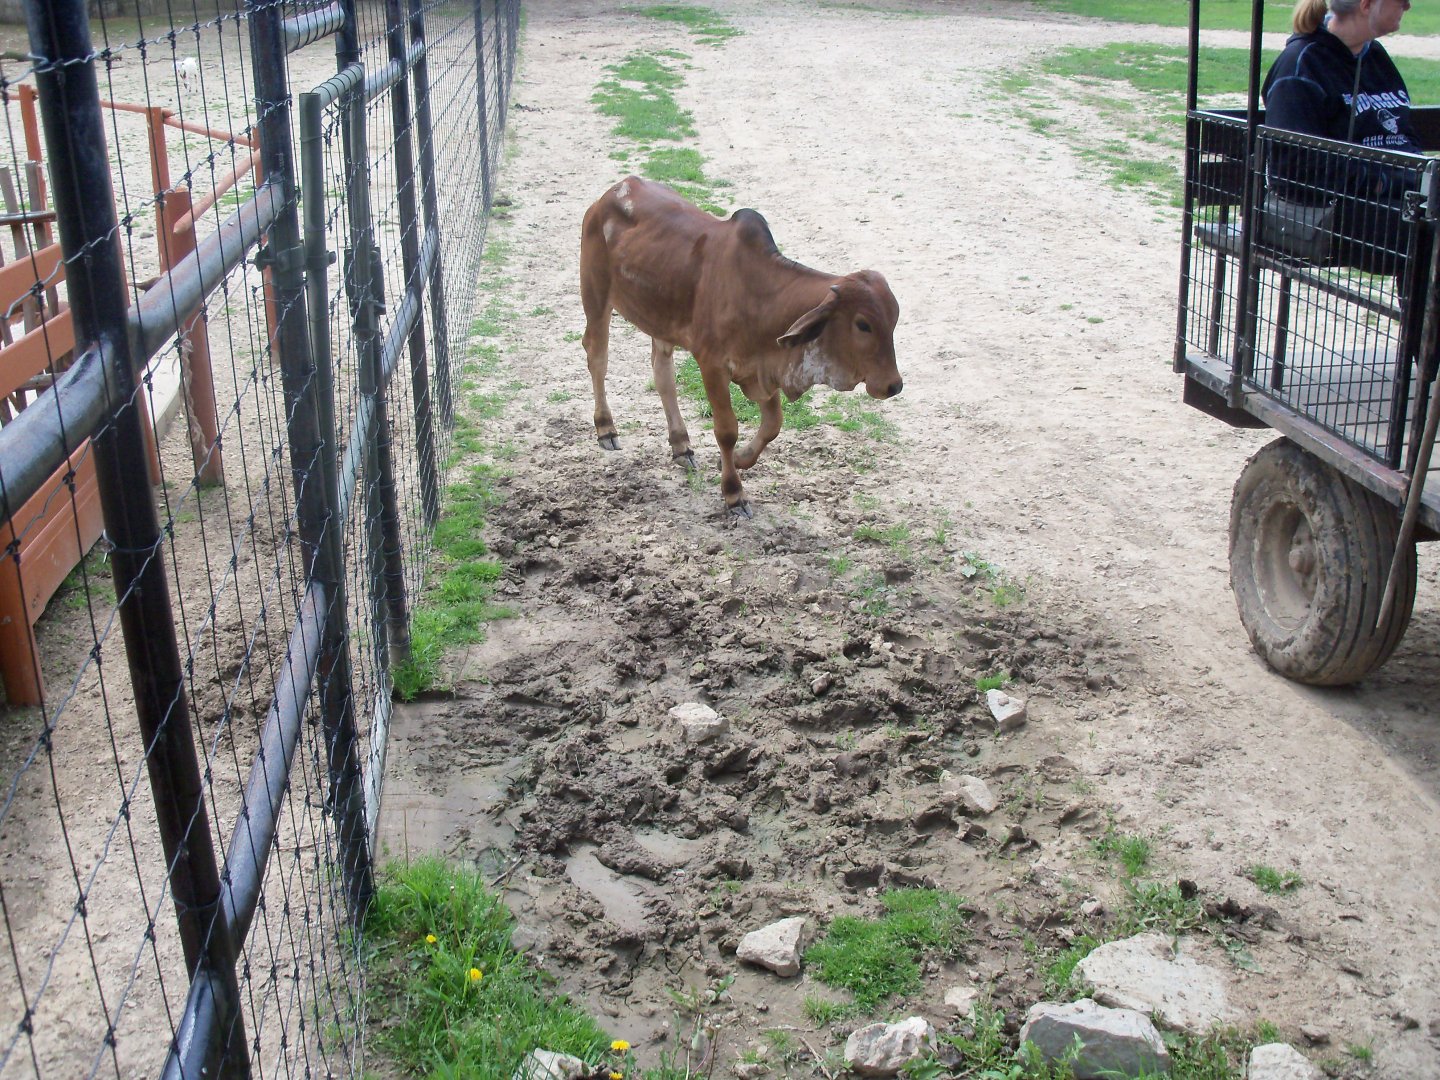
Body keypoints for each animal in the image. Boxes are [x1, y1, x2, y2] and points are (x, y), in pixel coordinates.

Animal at [580, 176, 902, 518]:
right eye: (863, 324)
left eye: (894, 319)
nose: (894, 385)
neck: (758, 295)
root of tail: (612, 192)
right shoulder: (712, 366)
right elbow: (727, 430)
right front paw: (734, 493)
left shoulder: (764, 368)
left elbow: (773, 424)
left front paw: (740, 459)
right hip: (596, 297)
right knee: (597, 358)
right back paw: (606, 429)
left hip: (661, 321)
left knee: (662, 374)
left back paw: (681, 445)